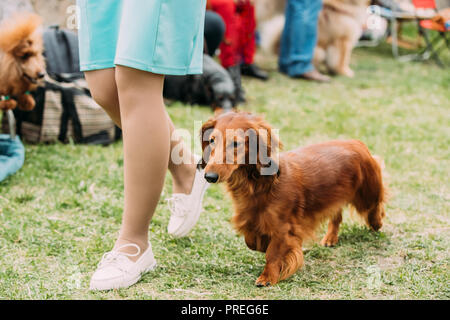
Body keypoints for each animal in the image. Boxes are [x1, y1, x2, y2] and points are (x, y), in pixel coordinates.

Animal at [201, 112, 386, 284]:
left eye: (236, 143)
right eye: (211, 141)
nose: (209, 176)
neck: (259, 185)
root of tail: (355, 142)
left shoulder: (284, 228)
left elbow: (272, 253)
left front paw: (268, 277)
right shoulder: (250, 219)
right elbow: (252, 241)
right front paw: (263, 246)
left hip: (367, 194)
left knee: (375, 206)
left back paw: (376, 223)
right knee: (336, 215)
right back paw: (330, 238)